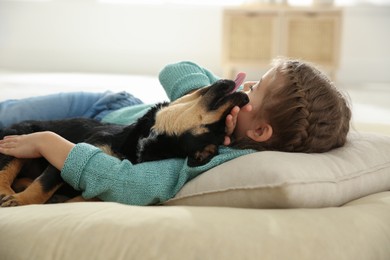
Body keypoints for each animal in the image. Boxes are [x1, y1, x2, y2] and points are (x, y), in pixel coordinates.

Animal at [0, 79, 248, 207]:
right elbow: (44, 185)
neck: (145, 143)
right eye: (221, 123)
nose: (245, 96)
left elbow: (86, 195)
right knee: (6, 170)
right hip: (19, 136)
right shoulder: (80, 149)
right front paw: (22, 201)